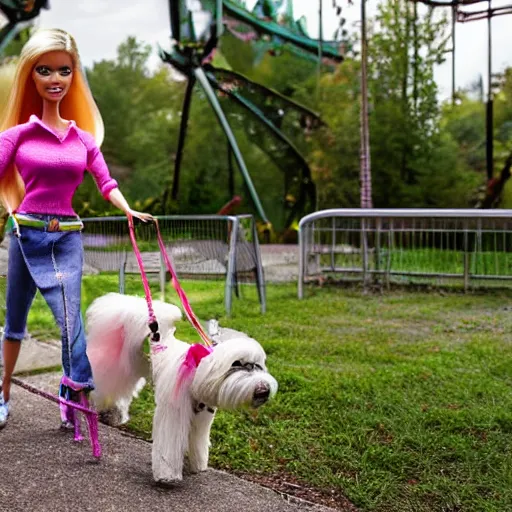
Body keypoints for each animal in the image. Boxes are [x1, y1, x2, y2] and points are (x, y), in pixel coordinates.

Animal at [85, 294, 276, 482]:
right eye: (236, 363)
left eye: (259, 365)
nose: (264, 390)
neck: (197, 371)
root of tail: (157, 332)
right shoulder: (174, 412)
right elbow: (169, 446)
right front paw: (167, 476)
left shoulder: (202, 416)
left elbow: (198, 442)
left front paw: (199, 465)